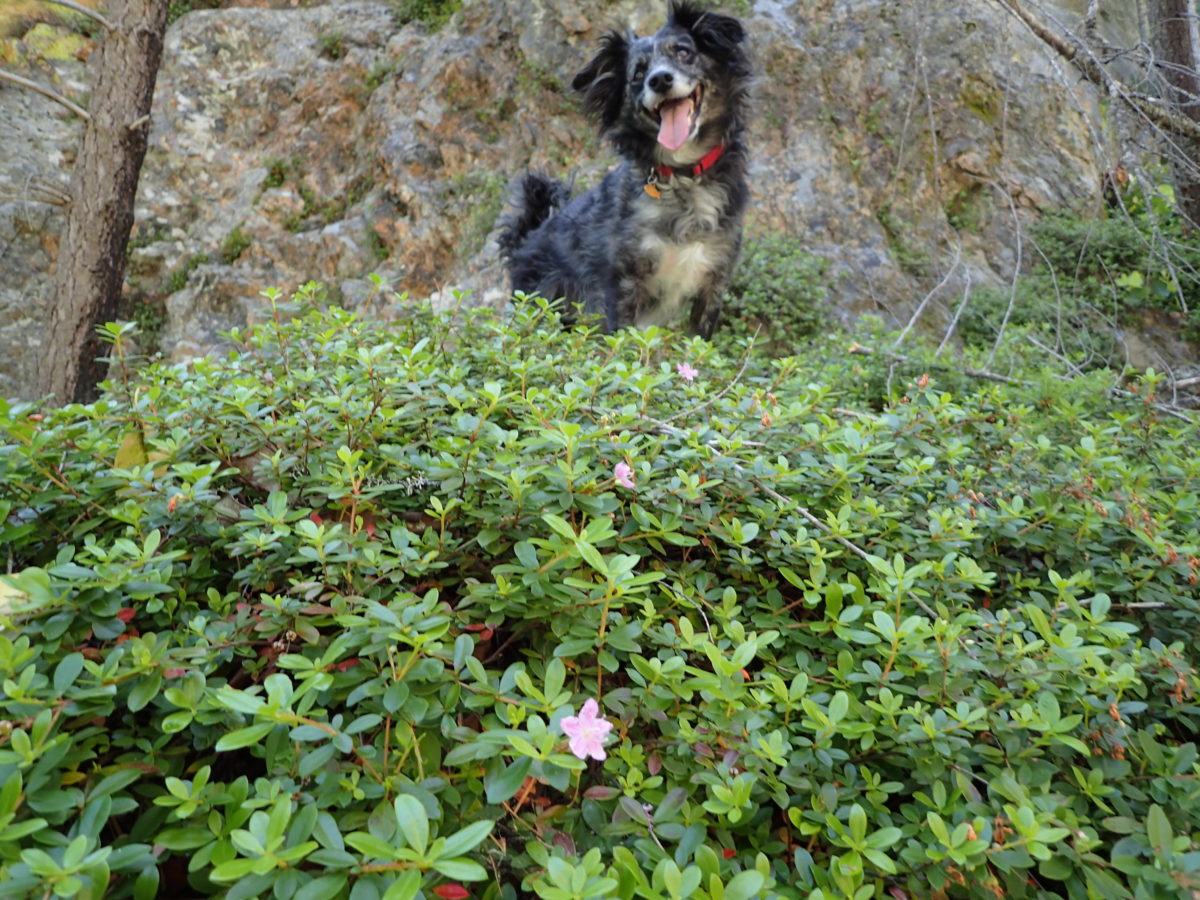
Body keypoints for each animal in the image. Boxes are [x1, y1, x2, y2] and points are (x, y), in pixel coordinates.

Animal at [499, 0, 748, 338]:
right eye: (638, 73)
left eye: (683, 52)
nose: (659, 79)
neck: (682, 177)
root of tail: (525, 242)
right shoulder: (623, 285)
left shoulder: (712, 282)